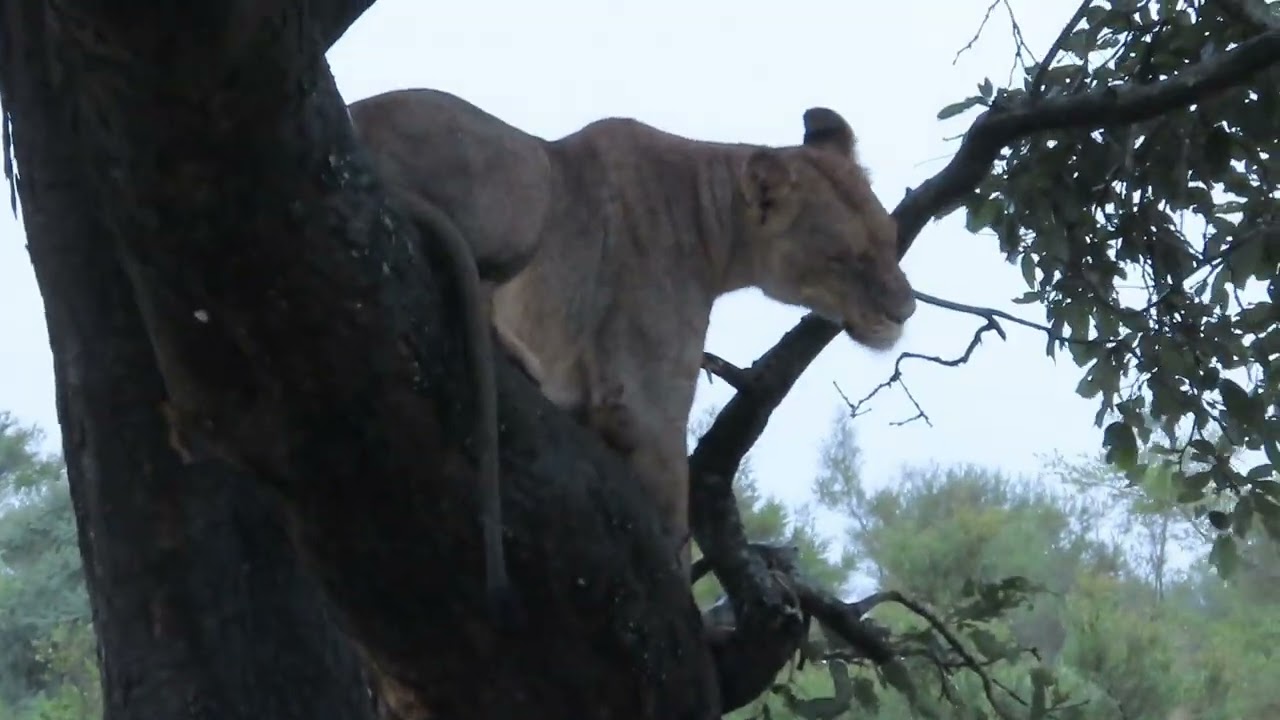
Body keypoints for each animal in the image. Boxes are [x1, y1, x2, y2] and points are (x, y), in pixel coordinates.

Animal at [348, 89, 916, 578]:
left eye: (890, 239)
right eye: (844, 258)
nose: (906, 311)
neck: (716, 225)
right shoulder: (647, 406)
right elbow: (675, 521)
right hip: (532, 174)